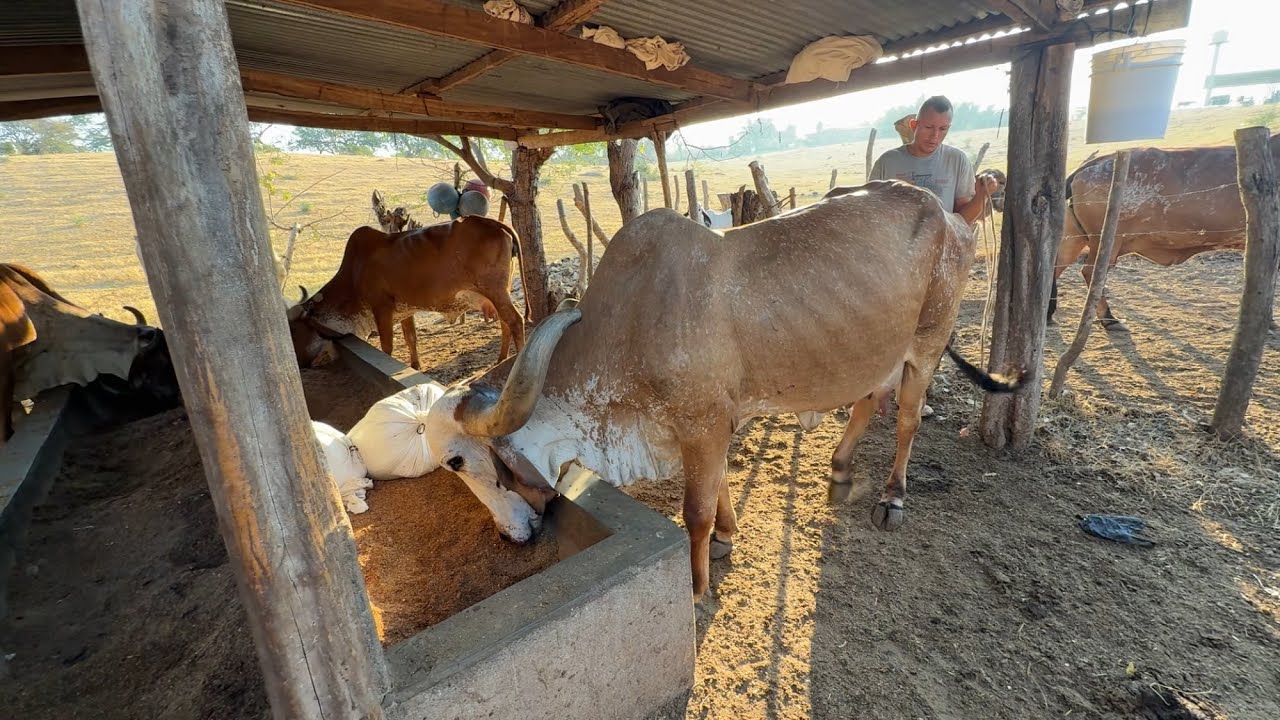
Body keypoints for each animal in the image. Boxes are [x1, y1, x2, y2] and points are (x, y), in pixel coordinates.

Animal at [287, 216, 526, 370]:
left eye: (294, 331)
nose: (301, 366)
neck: (354, 275)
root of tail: (495, 223)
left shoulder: (381, 308)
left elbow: (387, 347)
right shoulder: (405, 310)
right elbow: (411, 339)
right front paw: (415, 366)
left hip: (494, 290)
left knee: (516, 320)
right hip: (497, 294)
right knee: (505, 322)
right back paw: (500, 360)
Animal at [420, 181, 1021, 600]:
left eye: (459, 461)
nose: (509, 537)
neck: (627, 326)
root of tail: (950, 213)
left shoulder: (701, 425)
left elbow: (696, 511)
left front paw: (696, 584)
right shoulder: (710, 426)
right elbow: (721, 487)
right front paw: (728, 536)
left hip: (927, 342)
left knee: (908, 419)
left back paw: (891, 497)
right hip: (872, 350)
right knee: (870, 399)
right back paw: (841, 469)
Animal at [1049, 134, 1280, 329]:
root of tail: (1094, 162)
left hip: (1076, 237)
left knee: (1057, 266)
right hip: (1107, 241)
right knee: (1090, 273)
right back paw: (1108, 318)